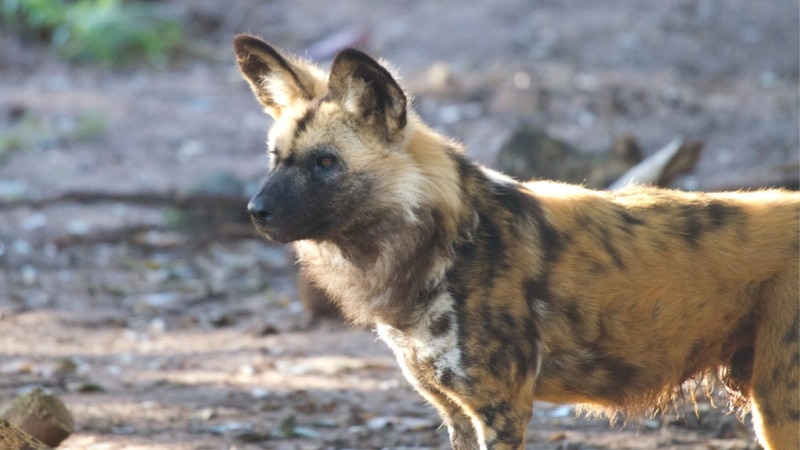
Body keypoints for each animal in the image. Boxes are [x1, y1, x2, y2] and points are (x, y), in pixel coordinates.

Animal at [234, 35, 800, 450]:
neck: (440, 242)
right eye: (275, 158)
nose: (255, 211)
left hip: (778, 409)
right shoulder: (457, 414)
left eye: (326, 162)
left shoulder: (502, 410)